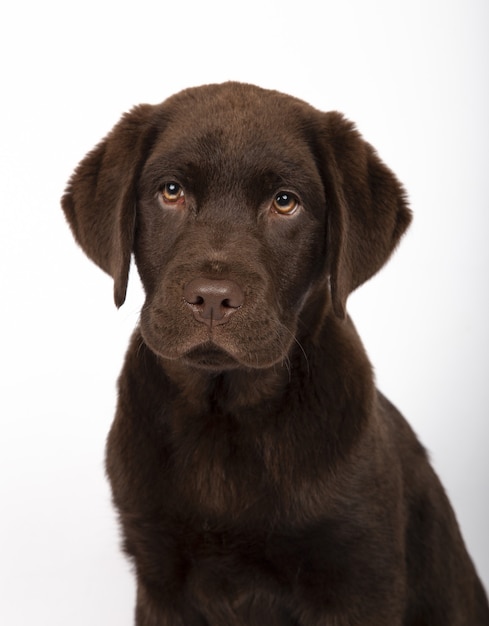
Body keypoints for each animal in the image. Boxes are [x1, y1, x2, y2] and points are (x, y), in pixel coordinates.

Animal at [61, 83, 488, 624]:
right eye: (171, 191)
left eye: (285, 202)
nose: (212, 299)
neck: (223, 415)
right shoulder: (158, 578)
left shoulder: (359, 579)